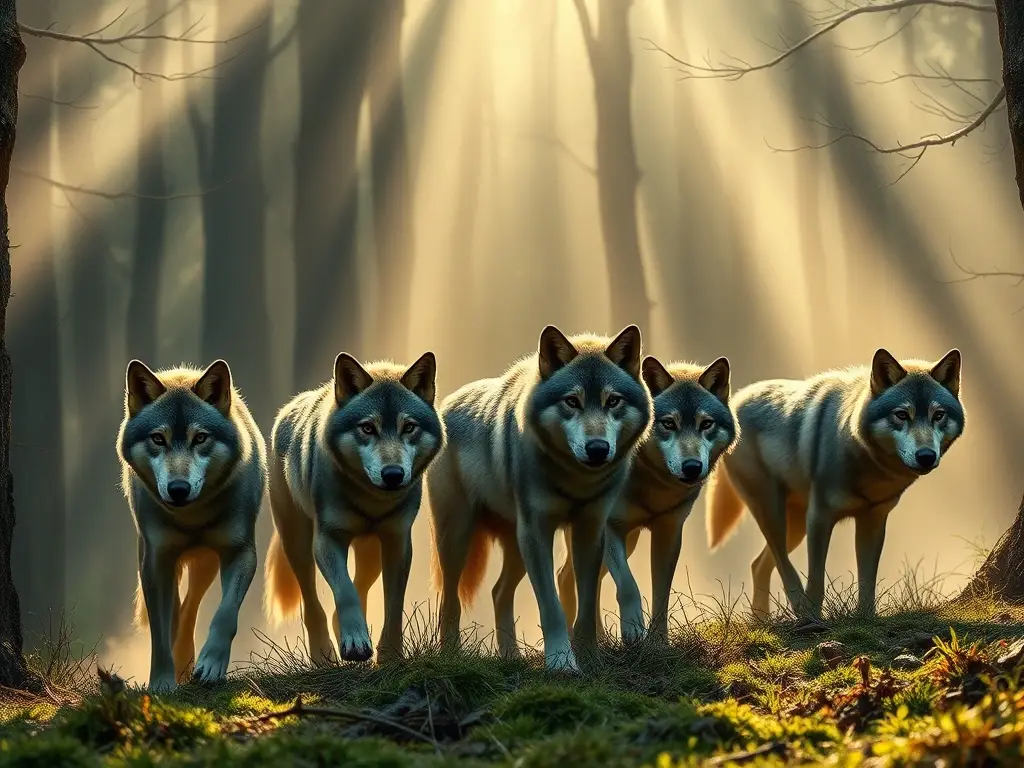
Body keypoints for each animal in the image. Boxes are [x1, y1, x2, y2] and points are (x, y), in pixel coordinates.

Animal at [118, 359, 267, 693]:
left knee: (189, 610)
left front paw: (211, 665)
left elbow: (225, 614)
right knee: (176, 612)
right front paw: (161, 683)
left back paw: (187, 661)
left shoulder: (241, 552)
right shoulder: (156, 561)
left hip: (205, 565)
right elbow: (159, 634)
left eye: (200, 438)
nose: (178, 489)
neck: (191, 516)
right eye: (158, 439)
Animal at [263, 352, 442, 665]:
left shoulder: (397, 541)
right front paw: (356, 645)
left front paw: (391, 655)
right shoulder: (326, 539)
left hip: (370, 554)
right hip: (297, 545)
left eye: (409, 427)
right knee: (313, 602)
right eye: (367, 428)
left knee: (361, 586)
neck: (371, 500)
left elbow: (393, 605)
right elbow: (345, 591)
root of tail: (287, 410)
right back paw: (323, 654)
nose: (393, 474)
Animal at [428, 325, 651, 671]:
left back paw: (511, 657)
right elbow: (552, 608)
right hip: (459, 539)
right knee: (449, 600)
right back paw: (452, 657)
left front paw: (590, 659)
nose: (597, 449)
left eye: (613, 401)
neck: (575, 480)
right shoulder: (537, 531)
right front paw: (561, 664)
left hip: (517, 547)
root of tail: (448, 403)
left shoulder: (590, 530)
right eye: (572, 401)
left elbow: (587, 606)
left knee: (498, 592)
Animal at [557, 356, 737, 643]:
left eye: (706, 424)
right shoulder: (609, 529)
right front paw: (632, 631)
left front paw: (659, 642)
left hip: (628, 542)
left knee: (582, 580)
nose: (692, 467)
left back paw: (598, 639)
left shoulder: (669, 532)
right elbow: (628, 585)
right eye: (669, 423)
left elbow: (661, 594)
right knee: (567, 577)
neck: (653, 485)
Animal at [705, 348, 965, 620]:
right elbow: (816, 579)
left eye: (938, 415)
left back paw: (761, 620)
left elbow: (867, 580)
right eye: (902, 415)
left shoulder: (873, 520)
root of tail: (736, 399)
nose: (926, 456)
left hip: (795, 527)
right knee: (781, 563)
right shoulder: (819, 517)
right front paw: (814, 617)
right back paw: (799, 613)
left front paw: (866, 618)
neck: (866, 464)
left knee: (759, 564)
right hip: (774, 513)